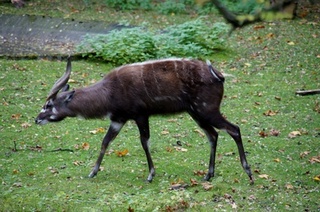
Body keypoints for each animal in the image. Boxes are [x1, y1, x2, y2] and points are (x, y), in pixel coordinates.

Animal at [35, 57, 254, 183]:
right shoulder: (118, 119)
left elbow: (144, 142)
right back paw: (208, 175)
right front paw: (92, 172)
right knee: (213, 134)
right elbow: (106, 141)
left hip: (207, 109)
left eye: (49, 105)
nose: (37, 119)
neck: (110, 92)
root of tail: (218, 75)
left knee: (233, 129)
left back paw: (249, 173)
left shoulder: (140, 115)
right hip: (196, 113)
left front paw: (150, 175)